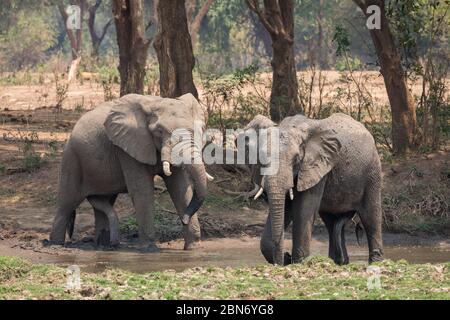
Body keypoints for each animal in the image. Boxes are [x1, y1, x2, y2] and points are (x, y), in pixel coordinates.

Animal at [48, 92, 211, 250]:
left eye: (197, 130)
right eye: (159, 131)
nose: (184, 219)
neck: (155, 102)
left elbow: (180, 188)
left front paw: (193, 248)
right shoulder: (127, 148)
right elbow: (142, 190)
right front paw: (149, 249)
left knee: (103, 202)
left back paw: (104, 246)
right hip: (72, 158)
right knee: (67, 203)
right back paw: (56, 245)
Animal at [241, 112, 382, 264]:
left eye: (296, 159)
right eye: (261, 158)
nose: (284, 257)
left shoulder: (317, 165)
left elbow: (304, 208)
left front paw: (297, 261)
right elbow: (286, 207)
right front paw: (288, 258)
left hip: (372, 172)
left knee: (370, 218)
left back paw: (375, 261)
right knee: (331, 221)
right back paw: (339, 262)